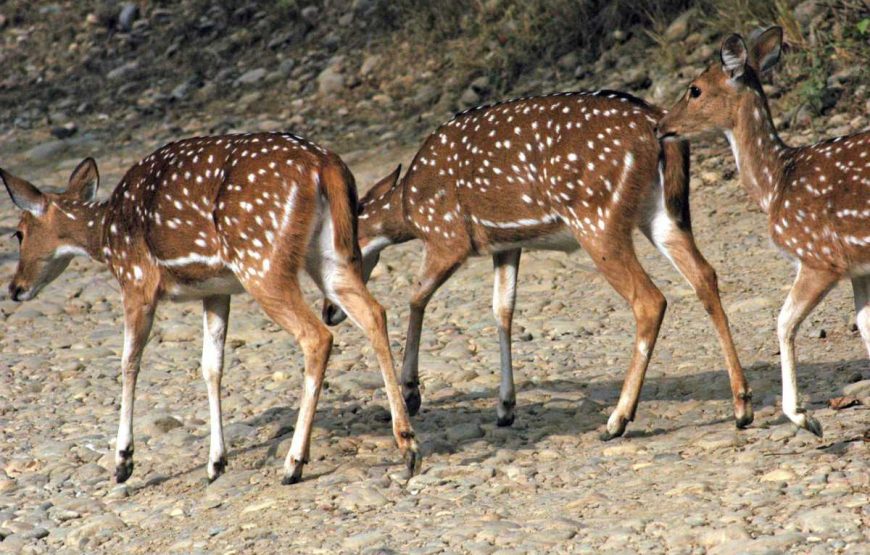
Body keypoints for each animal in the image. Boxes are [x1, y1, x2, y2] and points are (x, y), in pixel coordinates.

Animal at [0, 132, 422, 484]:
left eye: (18, 233)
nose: (15, 288)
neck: (107, 237)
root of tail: (327, 166)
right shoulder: (217, 290)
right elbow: (211, 367)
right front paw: (216, 462)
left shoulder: (137, 282)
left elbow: (128, 362)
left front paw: (123, 462)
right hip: (331, 255)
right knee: (374, 312)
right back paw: (407, 444)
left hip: (261, 260)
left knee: (317, 335)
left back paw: (293, 464)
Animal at [326, 90, 756, 438]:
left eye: (344, 252)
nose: (330, 311)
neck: (408, 209)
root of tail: (659, 124)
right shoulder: (506, 244)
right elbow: (502, 310)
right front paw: (505, 407)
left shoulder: (448, 238)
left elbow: (416, 298)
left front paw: (412, 392)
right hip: (662, 213)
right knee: (704, 276)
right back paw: (742, 406)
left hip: (596, 217)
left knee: (650, 299)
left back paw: (617, 420)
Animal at [660, 26, 870, 436]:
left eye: (695, 89)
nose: (660, 125)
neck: (775, 186)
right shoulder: (857, 269)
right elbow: (865, 325)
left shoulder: (820, 257)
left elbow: (783, 321)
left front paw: (804, 416)